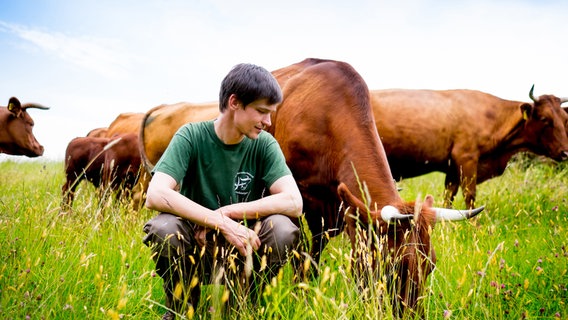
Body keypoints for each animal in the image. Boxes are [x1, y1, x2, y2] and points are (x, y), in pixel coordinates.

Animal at [370, 87, 568, 208]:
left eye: (565, 119)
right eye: (544, 119)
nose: (566, 152)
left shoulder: (452, 166)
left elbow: (449, 196)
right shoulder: (467, 158)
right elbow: (469, 194)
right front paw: (474, 226)